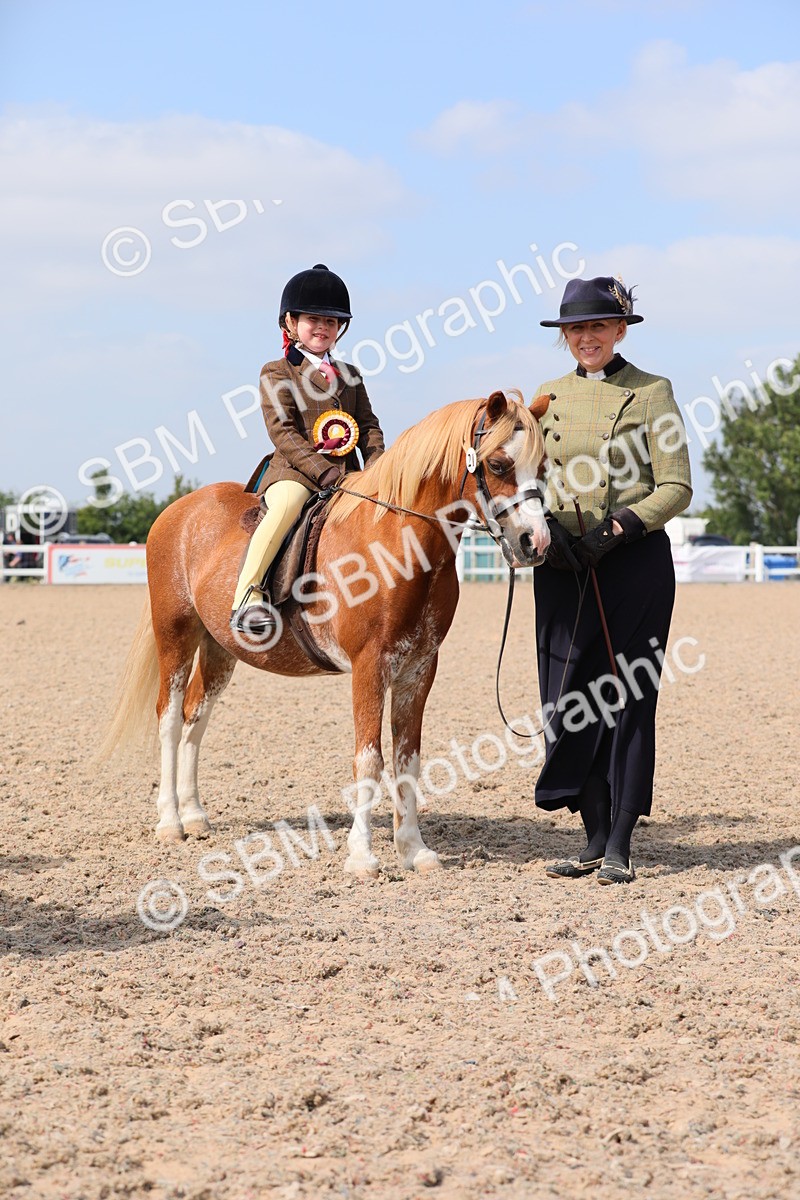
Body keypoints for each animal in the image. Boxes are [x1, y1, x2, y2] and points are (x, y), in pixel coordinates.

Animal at [102, 389, 551, 879]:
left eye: (544, 465)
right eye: (499, 465)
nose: (535, 543)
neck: (396, 542)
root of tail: (177, 511)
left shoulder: (418, 669)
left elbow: (408, 759)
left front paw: (414, 850)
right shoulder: (370, 666)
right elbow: (369, 759)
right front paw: (362, 857)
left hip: (220, 649)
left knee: (194, 719)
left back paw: (195, 815)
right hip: (176, 636)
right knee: (167, 719)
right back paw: (170, 822)